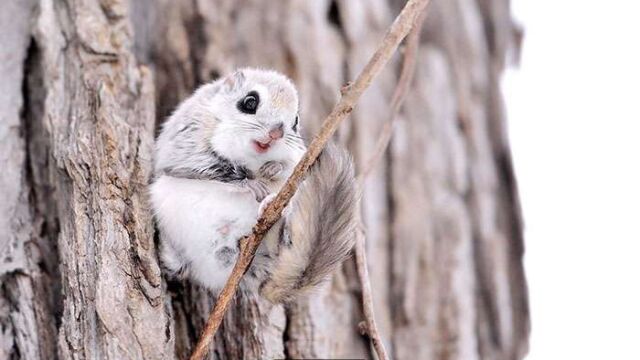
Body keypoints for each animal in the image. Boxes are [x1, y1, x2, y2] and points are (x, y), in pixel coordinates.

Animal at [151, 68, 360, 304]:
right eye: (249, 102)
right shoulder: (186, 142)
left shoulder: (297, 156)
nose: (277, 132)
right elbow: (206, 165)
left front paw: (273, 168)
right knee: (178, 266)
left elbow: (289, 167)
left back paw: (272, 208)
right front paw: (251, 183)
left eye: (295, 122)